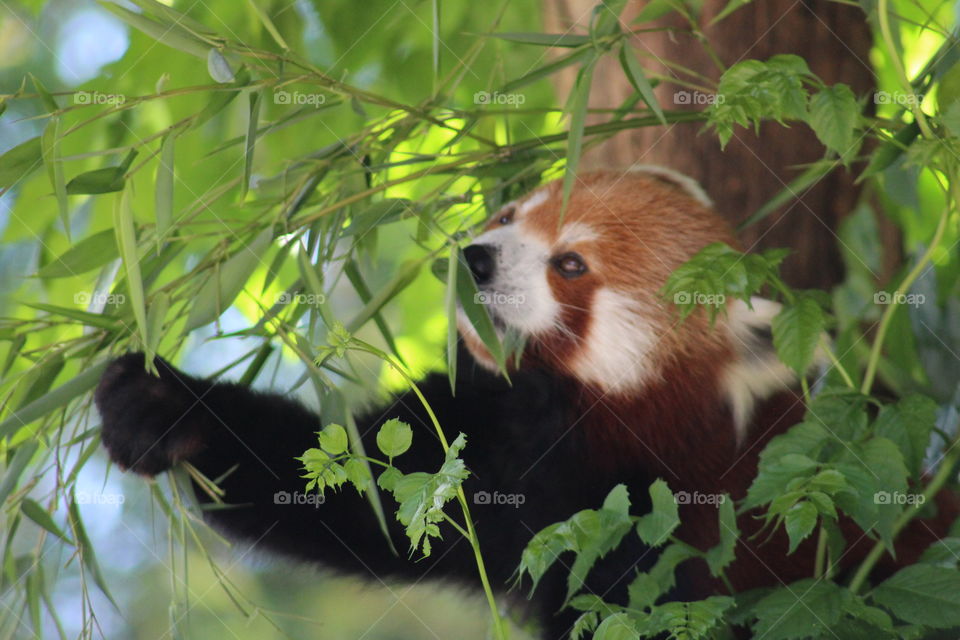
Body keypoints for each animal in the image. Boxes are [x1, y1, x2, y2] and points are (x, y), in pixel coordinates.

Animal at [94, 168, 952, 639]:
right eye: (508, 218)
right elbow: (360, 497)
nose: (477, 257)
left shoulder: (680, 533)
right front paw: (166, 410)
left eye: (569, 264)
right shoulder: (493, 455)